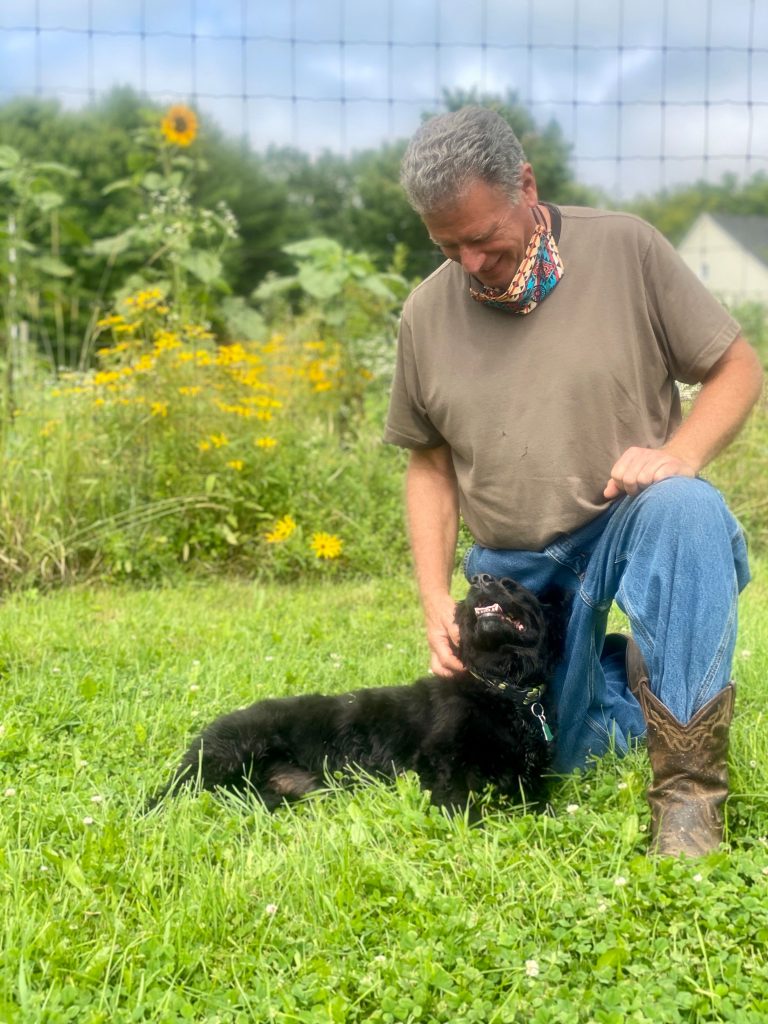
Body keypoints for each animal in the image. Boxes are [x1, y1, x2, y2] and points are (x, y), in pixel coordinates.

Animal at [150, 577, 569, 815]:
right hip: (224, 759)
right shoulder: (442, 760)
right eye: (465, 603)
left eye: (513, 587)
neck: (501, 691)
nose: (481, 581)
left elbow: (538, 802)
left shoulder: (528, 775)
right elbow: (466, 804)